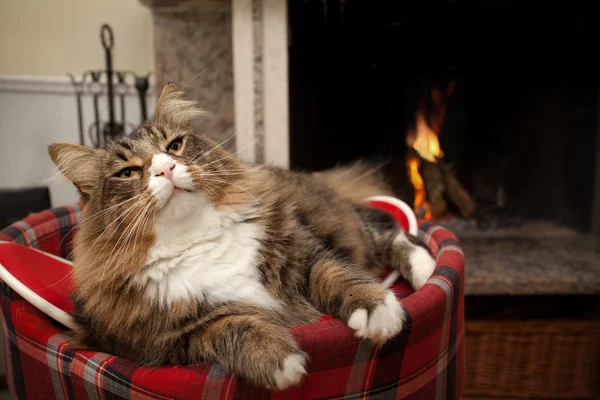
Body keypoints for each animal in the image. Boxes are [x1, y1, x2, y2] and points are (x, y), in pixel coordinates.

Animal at [47, 84, 434, 390]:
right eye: (127, 173)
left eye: (174, 146)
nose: (166, 168)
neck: (194, 237)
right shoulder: (167, 342)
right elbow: (234, 326)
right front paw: (280, 361)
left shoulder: (305, 252)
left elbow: (336, 274)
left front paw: (376, 310)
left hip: (348, 227)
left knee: (394, 235)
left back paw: (428, 271)